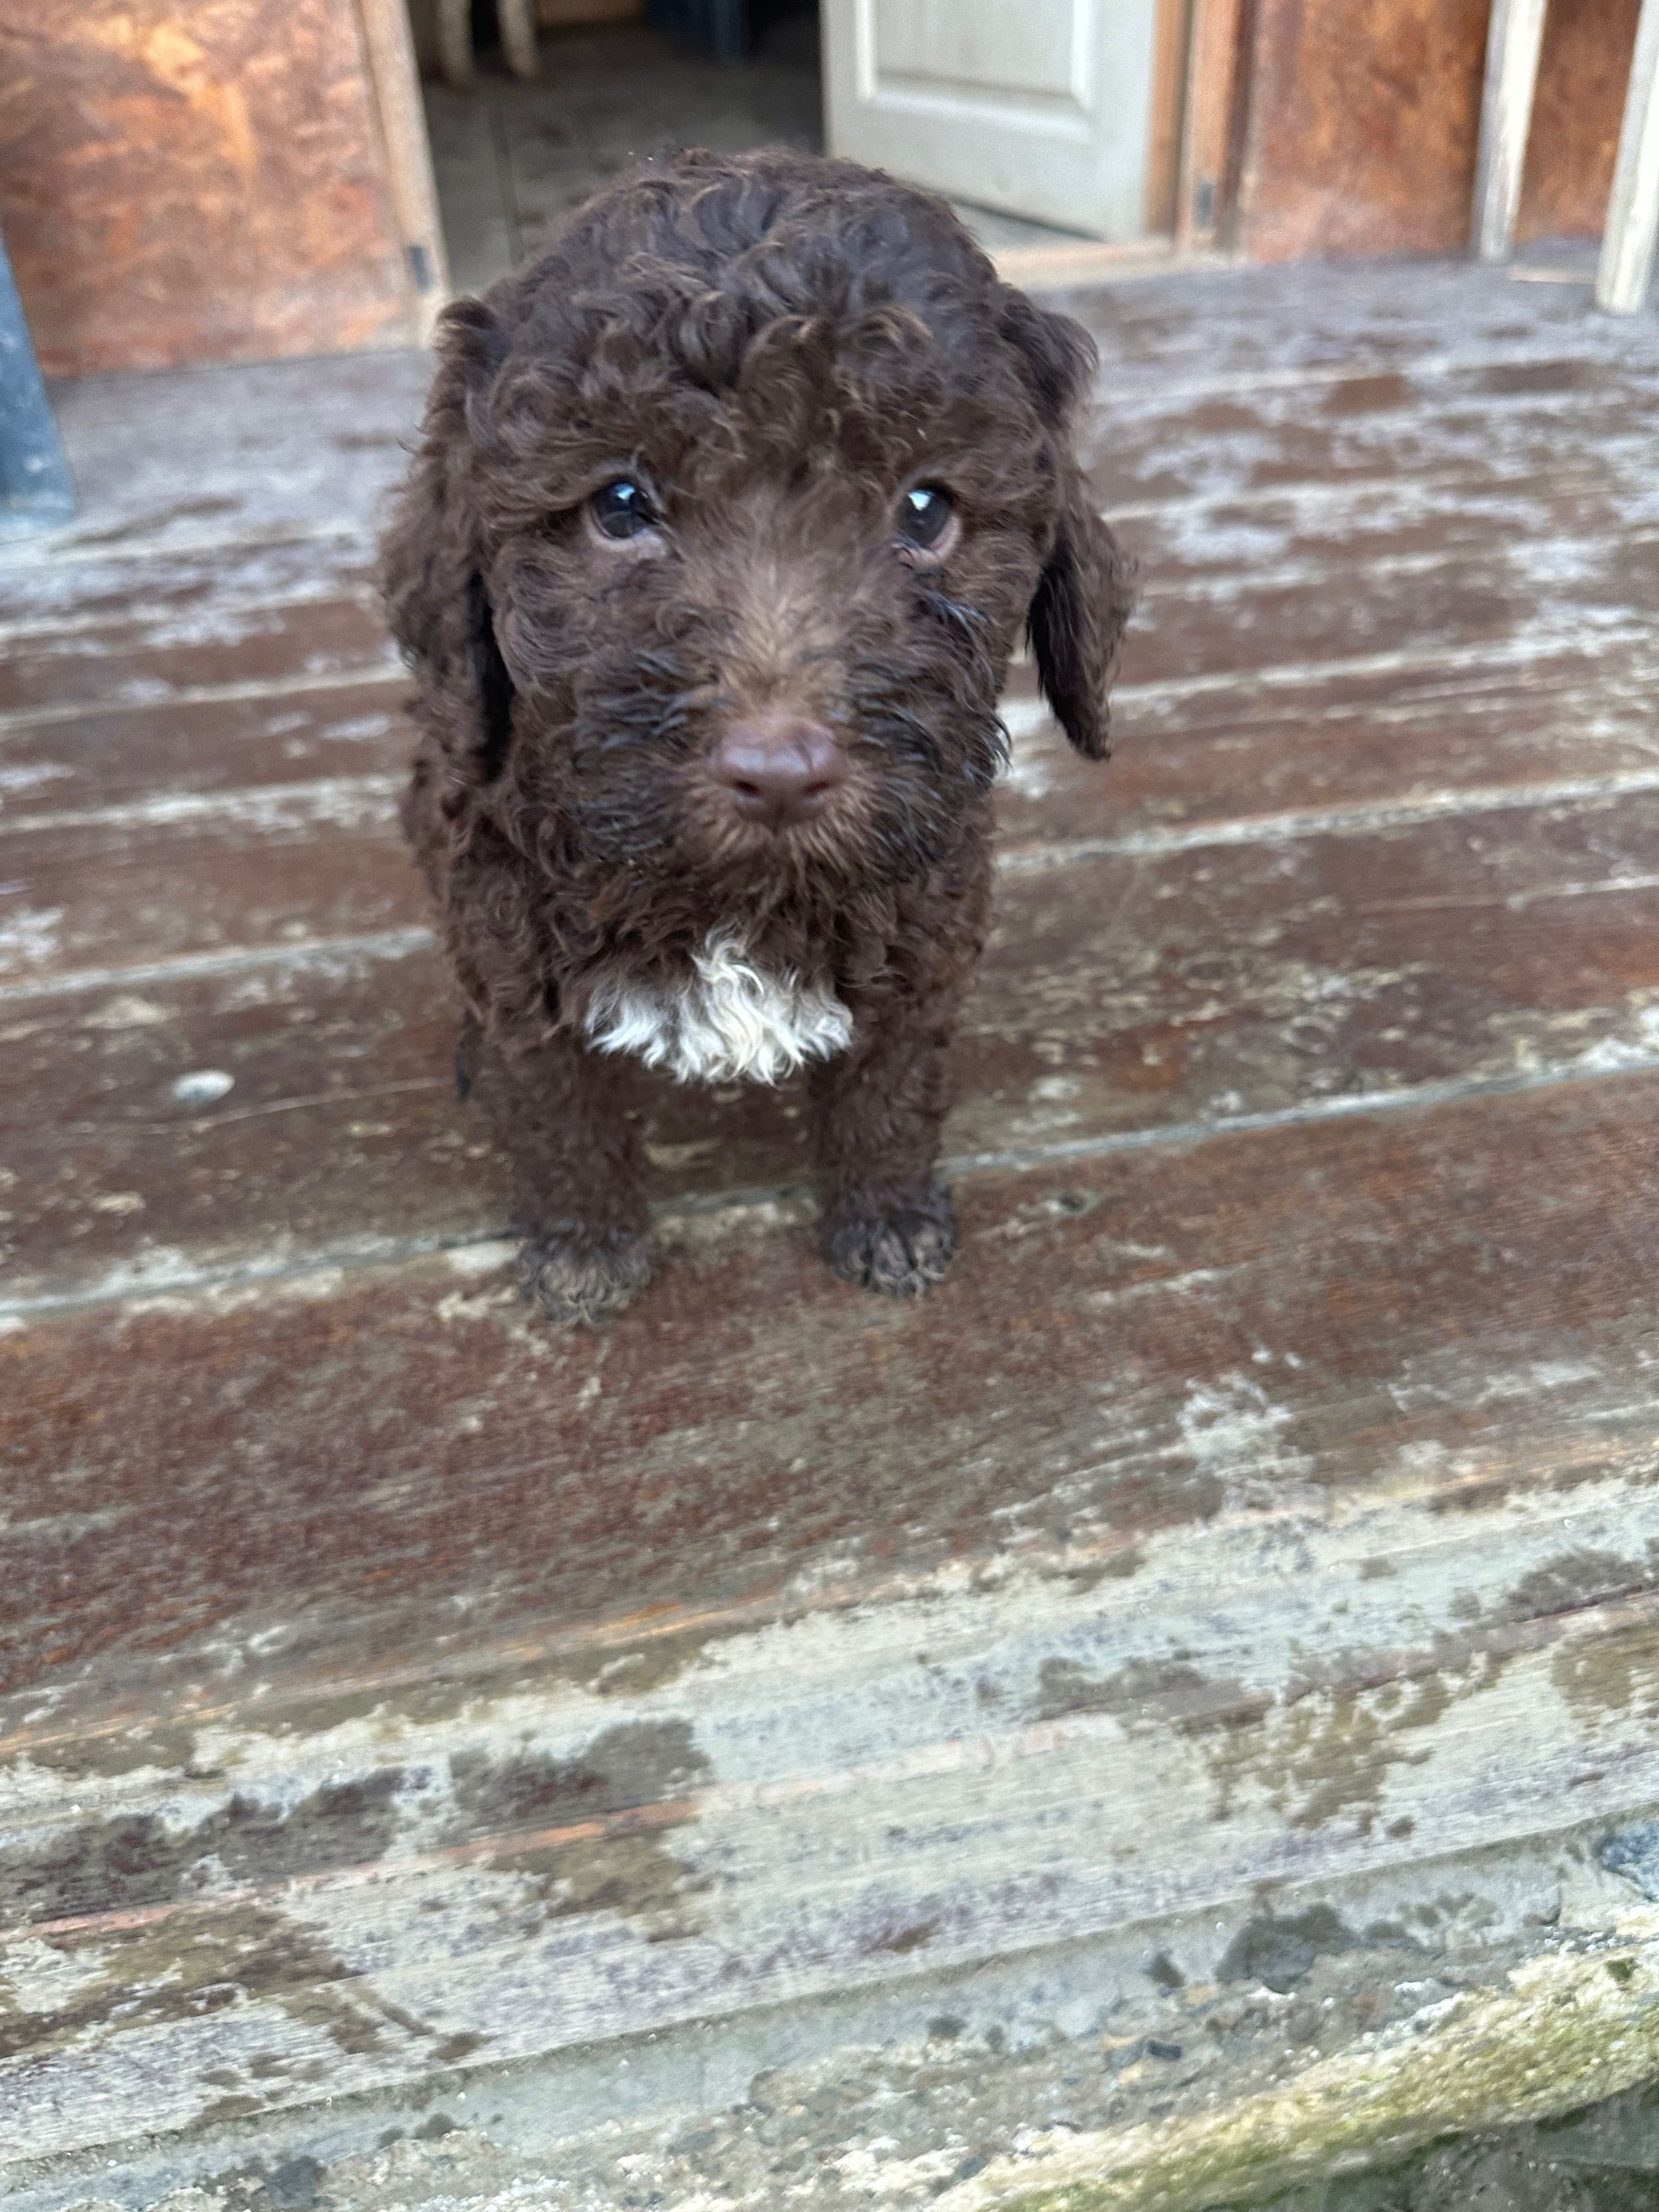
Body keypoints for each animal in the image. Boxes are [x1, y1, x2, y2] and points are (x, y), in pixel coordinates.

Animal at [382, 151, 1141, 1327]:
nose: (780, 775)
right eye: (618, 504)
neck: (733, 897)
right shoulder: (500, 923)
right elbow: (553, 1098)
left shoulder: (922, 934)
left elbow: (889, 1086)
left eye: (925, 509)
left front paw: (886, 1218)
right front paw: (585, 1246)